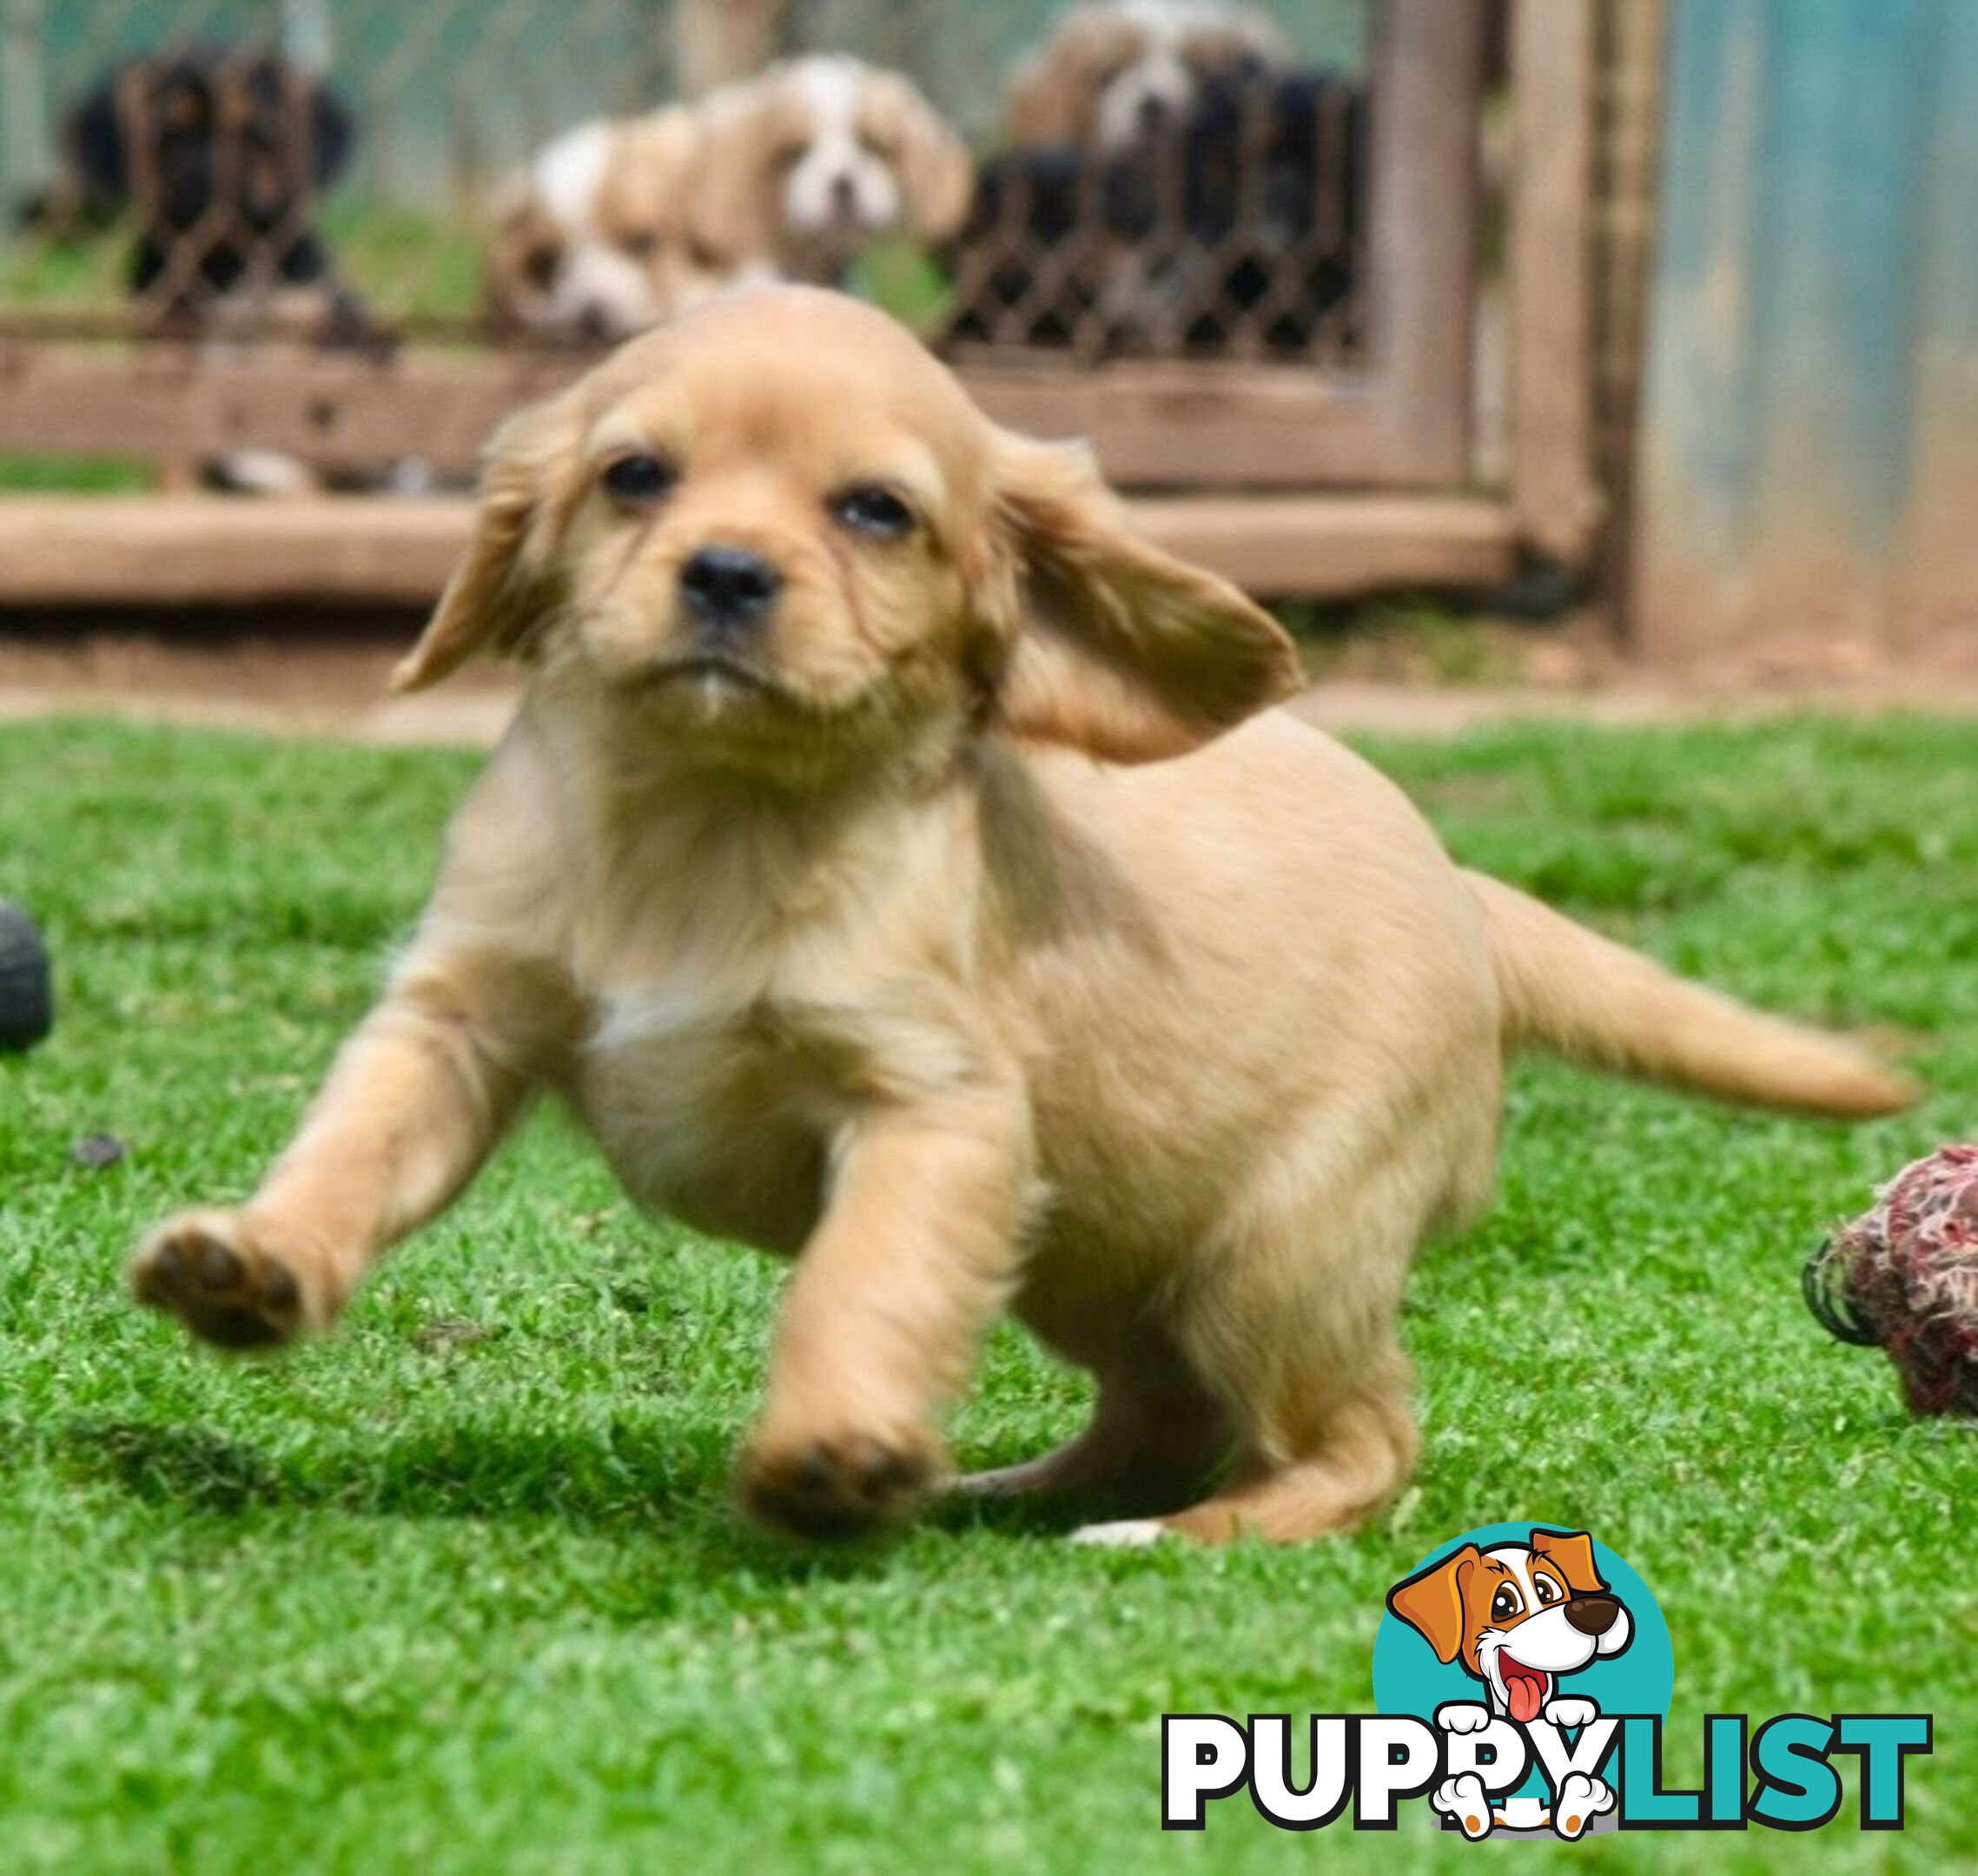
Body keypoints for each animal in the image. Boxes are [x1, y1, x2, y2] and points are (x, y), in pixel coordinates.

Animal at [131, 284, 1907, 1542]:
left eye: (873, 511)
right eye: (634, 477)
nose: (722, 574)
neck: (710, 817)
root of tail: (1464, 890)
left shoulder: (932, 1112)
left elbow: (861, 1282)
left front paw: (826, 1448)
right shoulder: (463, 1014)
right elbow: (353, 1148)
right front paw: (256, 1261)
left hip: (1279, 1252)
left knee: (1363, 1438)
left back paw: (1192, 1535)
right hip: (1103, 1247)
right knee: (1157, 1416)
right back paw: (1006, 1490)